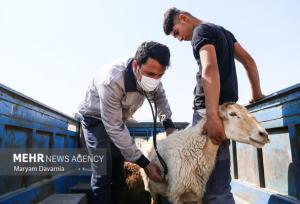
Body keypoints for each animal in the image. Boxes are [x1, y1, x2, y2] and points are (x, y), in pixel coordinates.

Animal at [141, 103, 270, 204]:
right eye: (232, 114)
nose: (264, 134)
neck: (194, 149)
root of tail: (157, 135)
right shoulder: (176, 195)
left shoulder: (196, 194)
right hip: (150, 185)